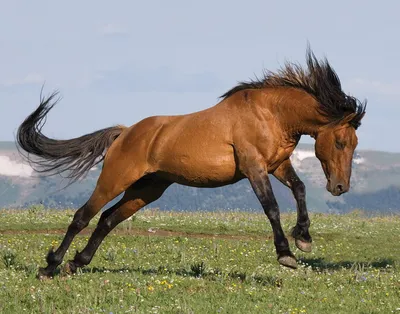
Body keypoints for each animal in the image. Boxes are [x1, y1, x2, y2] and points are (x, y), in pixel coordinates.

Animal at [16, 47, 366, 278]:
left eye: (355, 144)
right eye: (339, 142)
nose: (340, 187)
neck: (271, 114)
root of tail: (125, 132)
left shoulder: (277, 165)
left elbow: (300, 188)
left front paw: (304, 238)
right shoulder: (254, 168)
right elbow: (272, 208)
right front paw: (286, 254)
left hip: (147, 188)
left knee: (107, 219)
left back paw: (78, 262)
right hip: (115, 179)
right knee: (82, 216)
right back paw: (51, 265)